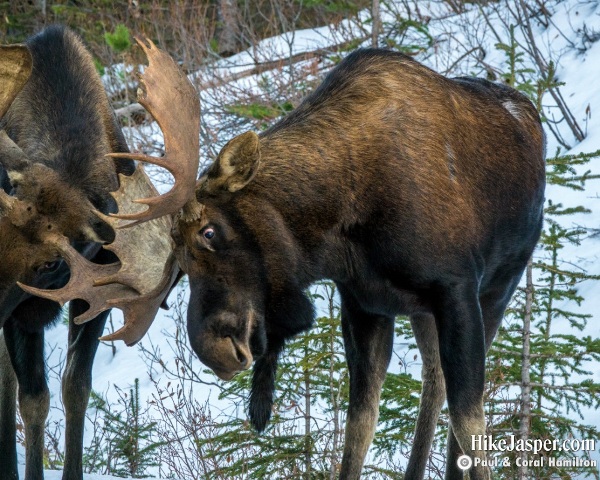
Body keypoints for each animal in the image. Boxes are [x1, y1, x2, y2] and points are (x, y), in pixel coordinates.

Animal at [21, 40, 544, 480]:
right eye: (177, 265)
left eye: (209, 232)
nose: (213, 349)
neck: (344, 223)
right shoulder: (364, 305)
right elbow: (359, 428)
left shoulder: (456, 292)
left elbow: (470, 421)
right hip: (421, 311)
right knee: (433, 384)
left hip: (498, 287)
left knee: (447, 394)